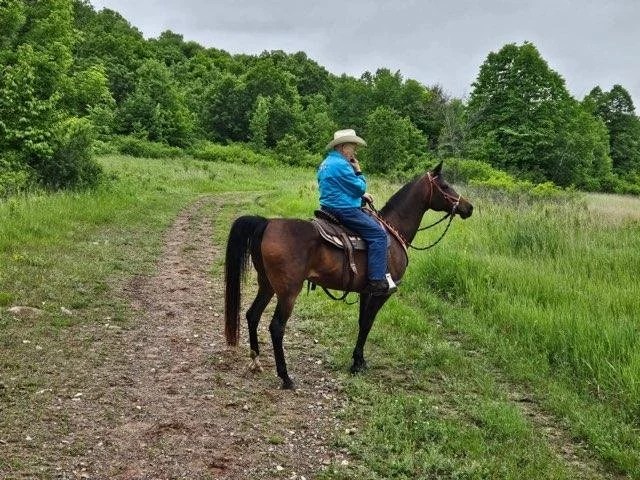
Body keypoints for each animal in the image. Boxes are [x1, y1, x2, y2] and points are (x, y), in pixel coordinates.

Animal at [224, 161, 473, 389]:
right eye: (445, 185)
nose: (468, 207)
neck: (392, 231)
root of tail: (267, 224)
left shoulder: (366, 291)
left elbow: (362, 322)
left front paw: (359, 360)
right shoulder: (383, 292)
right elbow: (368, 323)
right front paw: (356, 364)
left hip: (267, 285)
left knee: (252, 315)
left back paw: (255, 361)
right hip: (288, 292)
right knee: (276, 327)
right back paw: (285, 377)